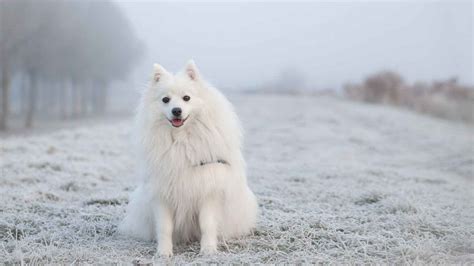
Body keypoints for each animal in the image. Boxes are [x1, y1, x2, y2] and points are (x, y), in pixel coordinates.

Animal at [120, 59, 258, 256]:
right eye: (165, 99)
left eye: (186, 98)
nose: (176, 110)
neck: (181, 141)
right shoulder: (162, 194)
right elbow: (164, 227)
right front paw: (164, 253)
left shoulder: (208, 190)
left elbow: (207, 224)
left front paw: (208, 250)